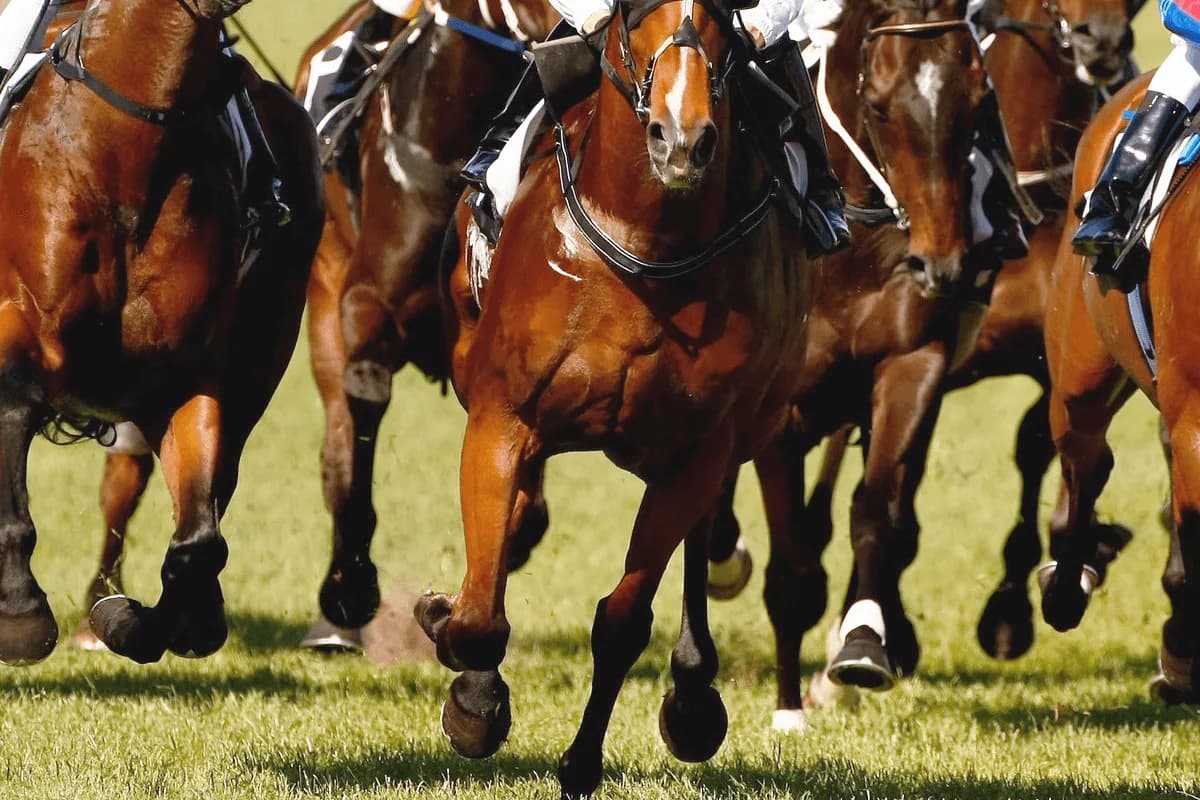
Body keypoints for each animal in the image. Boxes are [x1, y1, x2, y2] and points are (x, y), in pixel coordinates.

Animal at [0, 0, 323, 664]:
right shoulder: (19, 321)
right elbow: (15, 404)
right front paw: (19, 606)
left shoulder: (189, 374)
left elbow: (198, 536)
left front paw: (135, 618)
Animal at [418, 0, 810, 793]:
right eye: (635, 16)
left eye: (722, 17)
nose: (682, 139)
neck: (646, 245)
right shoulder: (503, 416)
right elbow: (478, 616)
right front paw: (470, 692)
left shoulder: (698, 452)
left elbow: (624, 618)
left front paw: (581, 760)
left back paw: (693, 692)